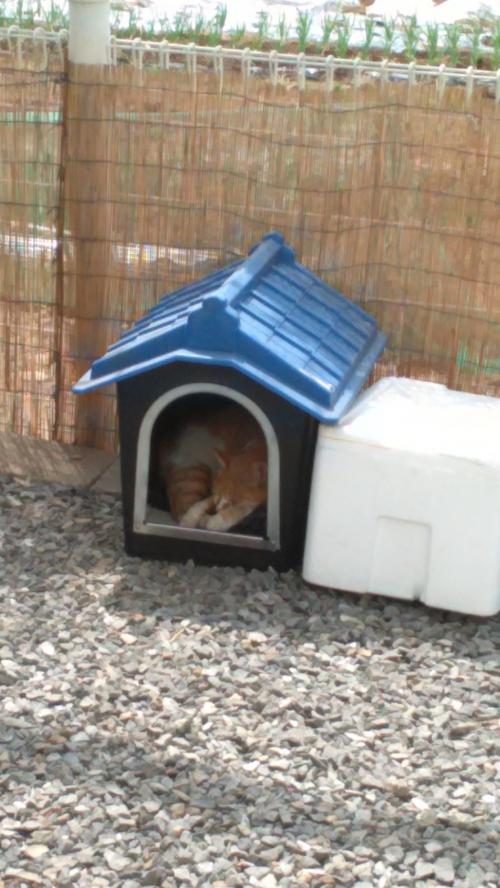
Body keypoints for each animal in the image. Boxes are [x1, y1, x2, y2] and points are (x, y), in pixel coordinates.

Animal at [157, 403, 267, 532]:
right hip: (196, 472)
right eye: (217, 492)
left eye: (233, 502)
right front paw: (193, 517)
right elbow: (202, 503)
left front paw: (218, 520)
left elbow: (241, 508)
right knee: (181, 507)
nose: (217, 510)